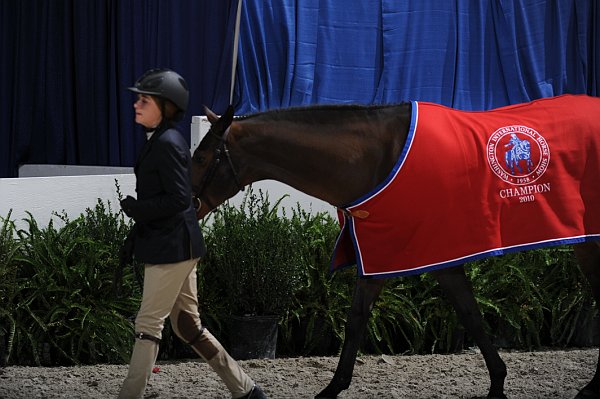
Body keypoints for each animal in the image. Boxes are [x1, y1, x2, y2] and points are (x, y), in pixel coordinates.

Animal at [191, 97, 600, 399]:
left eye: (201, 157)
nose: (187, 206)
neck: (377, 158)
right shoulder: (395, 257)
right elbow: (362, 320)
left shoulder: (427, 252)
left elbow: (465, 317)